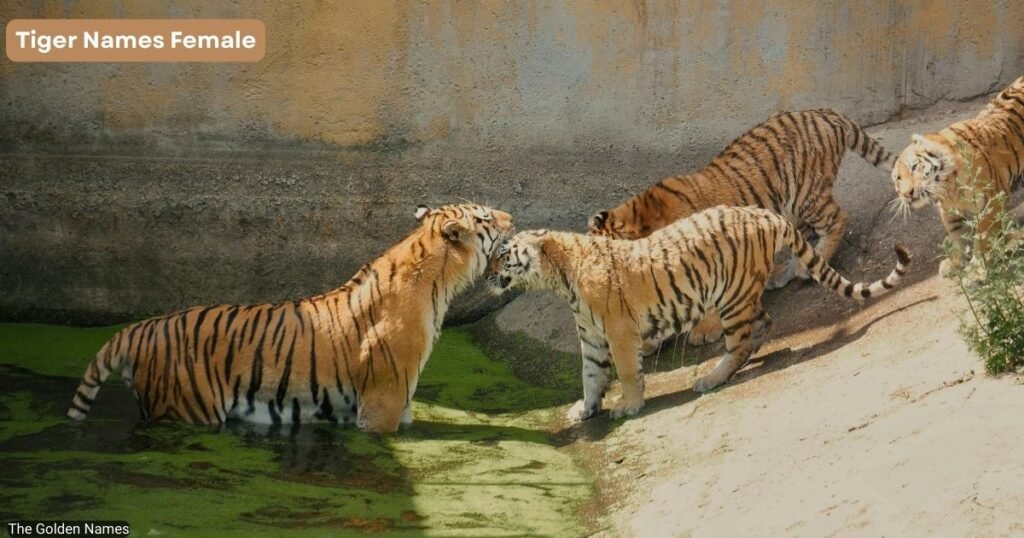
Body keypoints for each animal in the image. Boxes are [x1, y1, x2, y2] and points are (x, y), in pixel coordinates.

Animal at [67, 203, 514, 433]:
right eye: (486, 217)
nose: (512, 217)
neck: (441, 280)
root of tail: (140, 327)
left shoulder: (401, 401)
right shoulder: (383, 401)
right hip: (187, 407)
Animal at [487, 206, 910, 422]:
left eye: (503, 254)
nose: (486, 274)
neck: (559, 281)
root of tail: (766, 214)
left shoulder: (619, 331)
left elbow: (626, 372)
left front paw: (628, 406)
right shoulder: (591, 336)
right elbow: (590, 375)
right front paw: (586, 409)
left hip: (730, 297)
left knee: (740, 342)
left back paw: (711, 378)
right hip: (741, 294)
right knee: (762, 326)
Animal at [588, 109, 895, 348]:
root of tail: (824, 112)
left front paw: (704, 331)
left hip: (805, 195)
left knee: (837, 218)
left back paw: (804, 269)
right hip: (790, 210)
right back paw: (785, 272)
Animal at [891, 75, 1024, 277]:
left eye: (914, 167)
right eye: (898, 178)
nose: (907, 194)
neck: (948, 189)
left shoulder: (992, 202)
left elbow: (982, 238)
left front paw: (975, 271)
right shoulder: (949, 211)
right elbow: (956, 236)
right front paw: (956, 263)